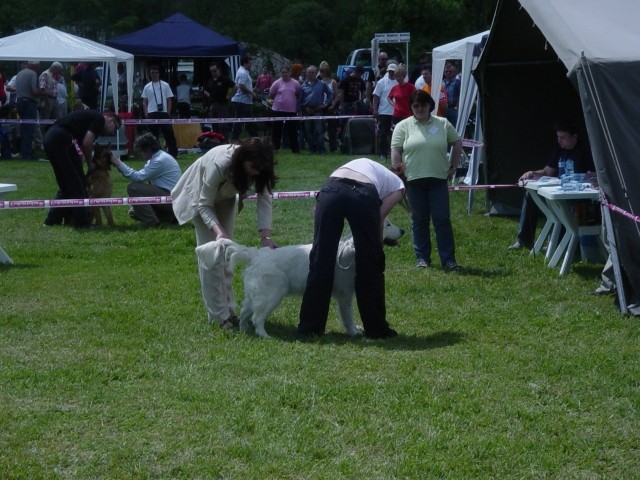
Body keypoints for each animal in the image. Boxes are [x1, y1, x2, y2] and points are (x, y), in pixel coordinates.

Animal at [196, 218, 404, 338]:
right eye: (387, 225)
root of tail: (256, 254)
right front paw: (353, 332)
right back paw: (265, 336)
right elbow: (348, 316)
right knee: (257, 317)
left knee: (246, 311)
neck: (352, 248)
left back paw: (244, 331)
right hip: (272, 294)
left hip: (257, 295)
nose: (402, 231)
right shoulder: (345, 295)